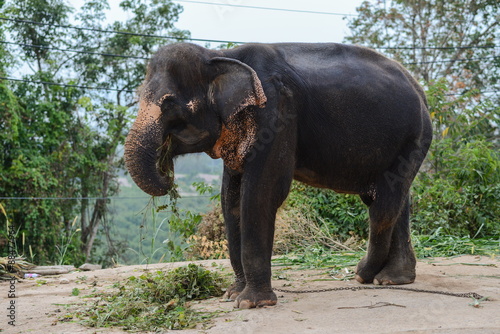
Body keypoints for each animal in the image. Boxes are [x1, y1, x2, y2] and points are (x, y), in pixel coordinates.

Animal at [123, 43, 432, 310]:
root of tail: (419, 88)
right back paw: (392, 279)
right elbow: (230, 199)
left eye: (169, 103)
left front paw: (252, 303)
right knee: (396, 200)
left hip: (412, 138)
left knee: (383, 205)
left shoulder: (276, 112)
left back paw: (365, 275)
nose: (166, 164)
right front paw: (232, 294)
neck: (220, 55)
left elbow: (262, 193)